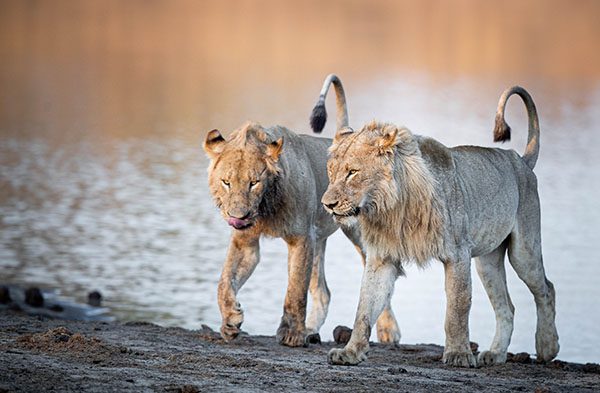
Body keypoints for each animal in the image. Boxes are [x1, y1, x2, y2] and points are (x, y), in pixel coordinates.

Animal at [204, 73, 400, 346]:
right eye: (226, 182)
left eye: (254, 183)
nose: (237, 217)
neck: (266, 208)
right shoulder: (246, 242)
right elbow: (224, 281)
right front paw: (231, 319)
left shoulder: (301, 238)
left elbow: (295, 289)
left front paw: (292, 334)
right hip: (319, 239)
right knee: (323, 291)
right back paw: (311, 330)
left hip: (357, 236)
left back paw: (388, 331)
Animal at [314, 85, 556, 364]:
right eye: (330, 172)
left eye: (352, 172)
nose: (327, 204)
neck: (391, 207)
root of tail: (520, 159)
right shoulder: (382, 257)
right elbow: (364, 308)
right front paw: (351, 352)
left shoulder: (458, 253)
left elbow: (458, 307)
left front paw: (459, 354)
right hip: (488, 261)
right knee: (507, 307)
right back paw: (495, 354)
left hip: (523, 250)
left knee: (546, 289)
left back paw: (547, 348)